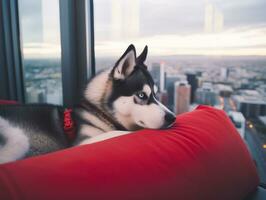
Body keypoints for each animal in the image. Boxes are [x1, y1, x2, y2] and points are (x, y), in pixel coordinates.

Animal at [0, 45, 177, 164]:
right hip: (19, 138)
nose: (172, 118)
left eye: (156, 94)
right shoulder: (82, 142)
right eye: (141, 95)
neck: (98, 113)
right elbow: (120, 133)